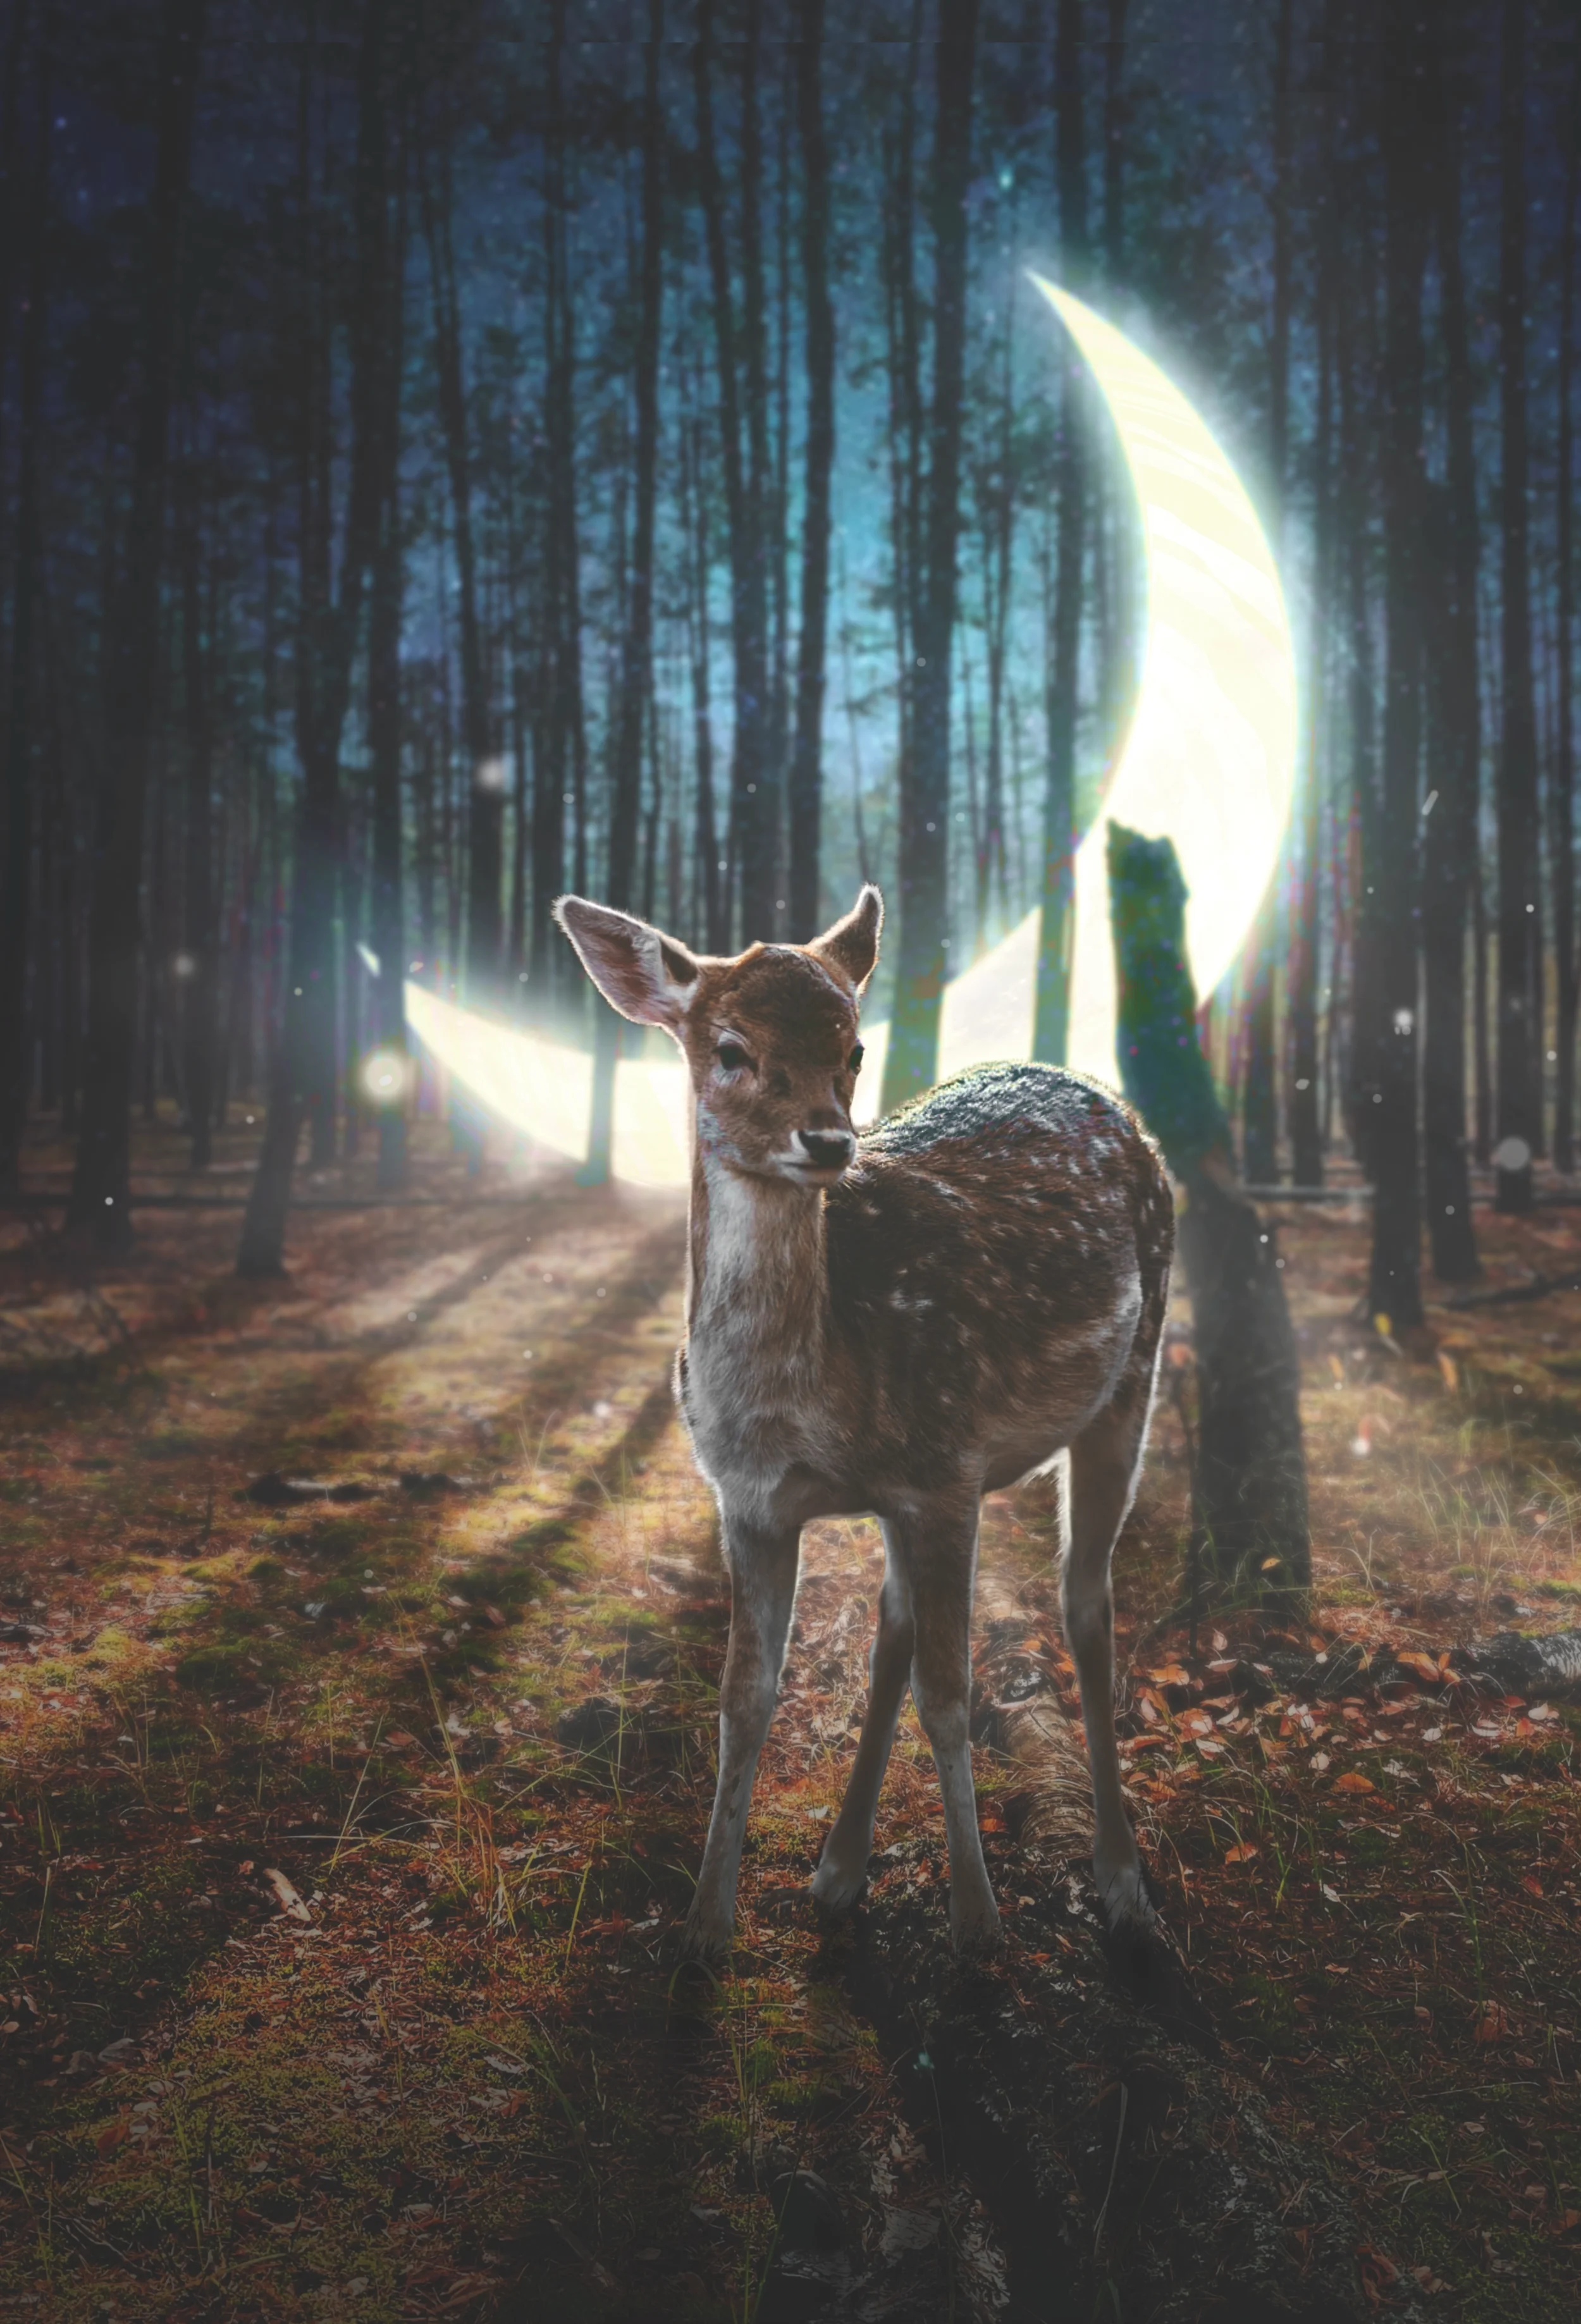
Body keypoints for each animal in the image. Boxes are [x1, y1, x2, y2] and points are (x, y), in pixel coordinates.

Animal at [554, 884, 1174, 1964]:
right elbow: (744, 1699)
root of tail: (1109, 1100)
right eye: (730, 1047)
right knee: (894, 1621)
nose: (830, 1140)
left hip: (1131, 1380)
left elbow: (953, 1691)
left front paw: (979, 1925)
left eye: (853, 1046)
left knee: (1085, 1606)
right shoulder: (751, 1500)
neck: (798, 1404)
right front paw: (703, 1927)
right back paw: (839, 1869)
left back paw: (1123, 1878)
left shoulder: (949, 1466)